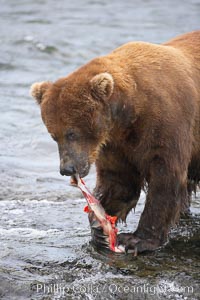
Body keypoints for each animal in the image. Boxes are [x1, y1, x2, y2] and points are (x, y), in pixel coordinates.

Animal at [30, 30, 200, 252]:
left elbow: (165, 177)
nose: (67, 168)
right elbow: (120, 181)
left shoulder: (167, 123)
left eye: (72, 133)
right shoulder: (115, 143)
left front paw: (138, 240)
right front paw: (99, 226)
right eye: (53, 135)